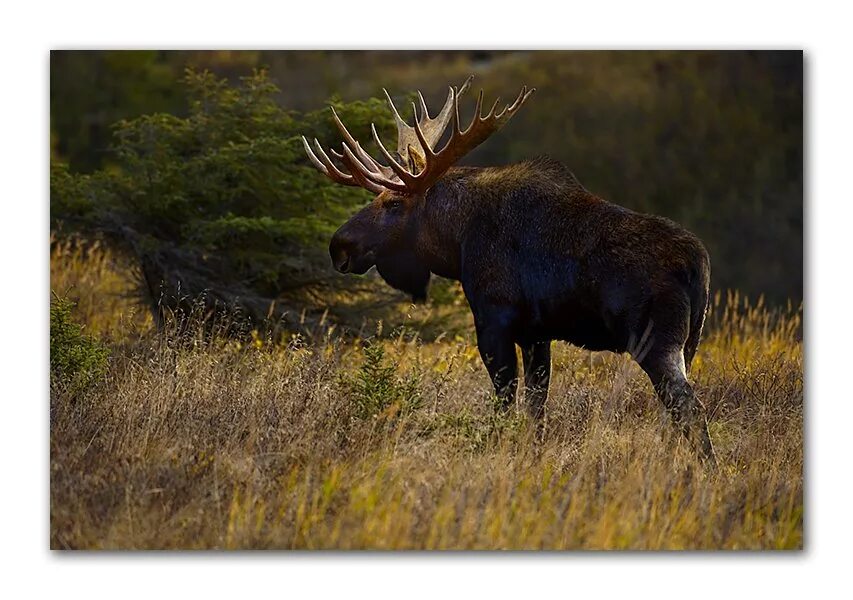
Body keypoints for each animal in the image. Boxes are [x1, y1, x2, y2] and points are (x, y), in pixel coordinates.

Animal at [302, 77, 716, 466]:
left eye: (393, 202)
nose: (339, 246)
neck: (456, 240)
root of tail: (698, 262)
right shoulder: (537, 334)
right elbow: (536, 410)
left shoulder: (493, 321)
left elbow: (505, 403)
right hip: (689, 342)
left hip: (657, 340)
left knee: (689, 408)